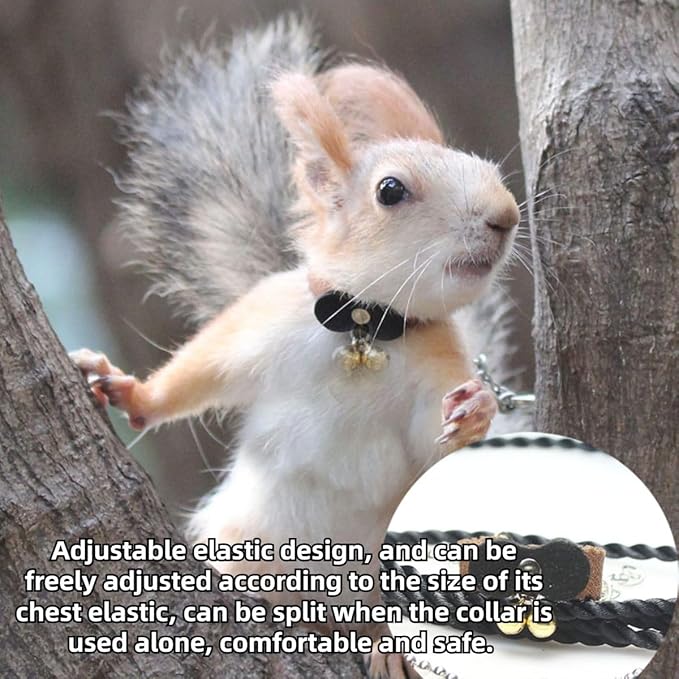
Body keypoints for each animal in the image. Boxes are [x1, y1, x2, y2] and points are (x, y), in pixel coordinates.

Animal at [71, 16, 521, 679]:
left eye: (487, 168)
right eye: (391, 190)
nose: (505, 215)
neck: (364, 327)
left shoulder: (438, 368)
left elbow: (437, 452)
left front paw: (478, 408)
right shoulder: (262, 323)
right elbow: (199, 371)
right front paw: (129, 391)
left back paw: (387, 645)